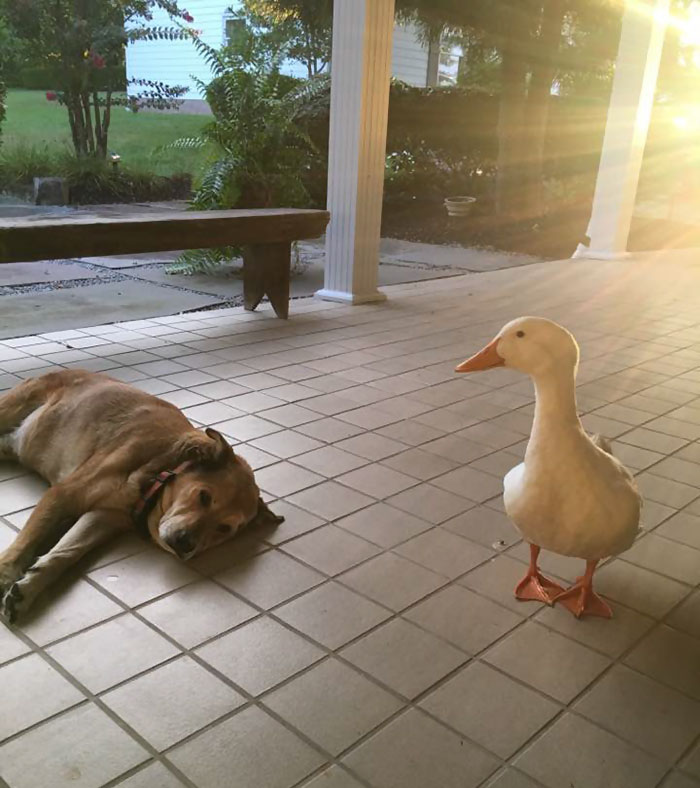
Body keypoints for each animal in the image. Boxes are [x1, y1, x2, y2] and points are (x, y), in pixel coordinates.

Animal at [1, 372, 284, 624]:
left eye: (224, 528)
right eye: (204, 496)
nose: (185, 544)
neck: (160, 470)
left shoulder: (104, 517)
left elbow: (67, 552)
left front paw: (29, 587)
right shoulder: (62, 495)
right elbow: (23, 546)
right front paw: (6, 574)